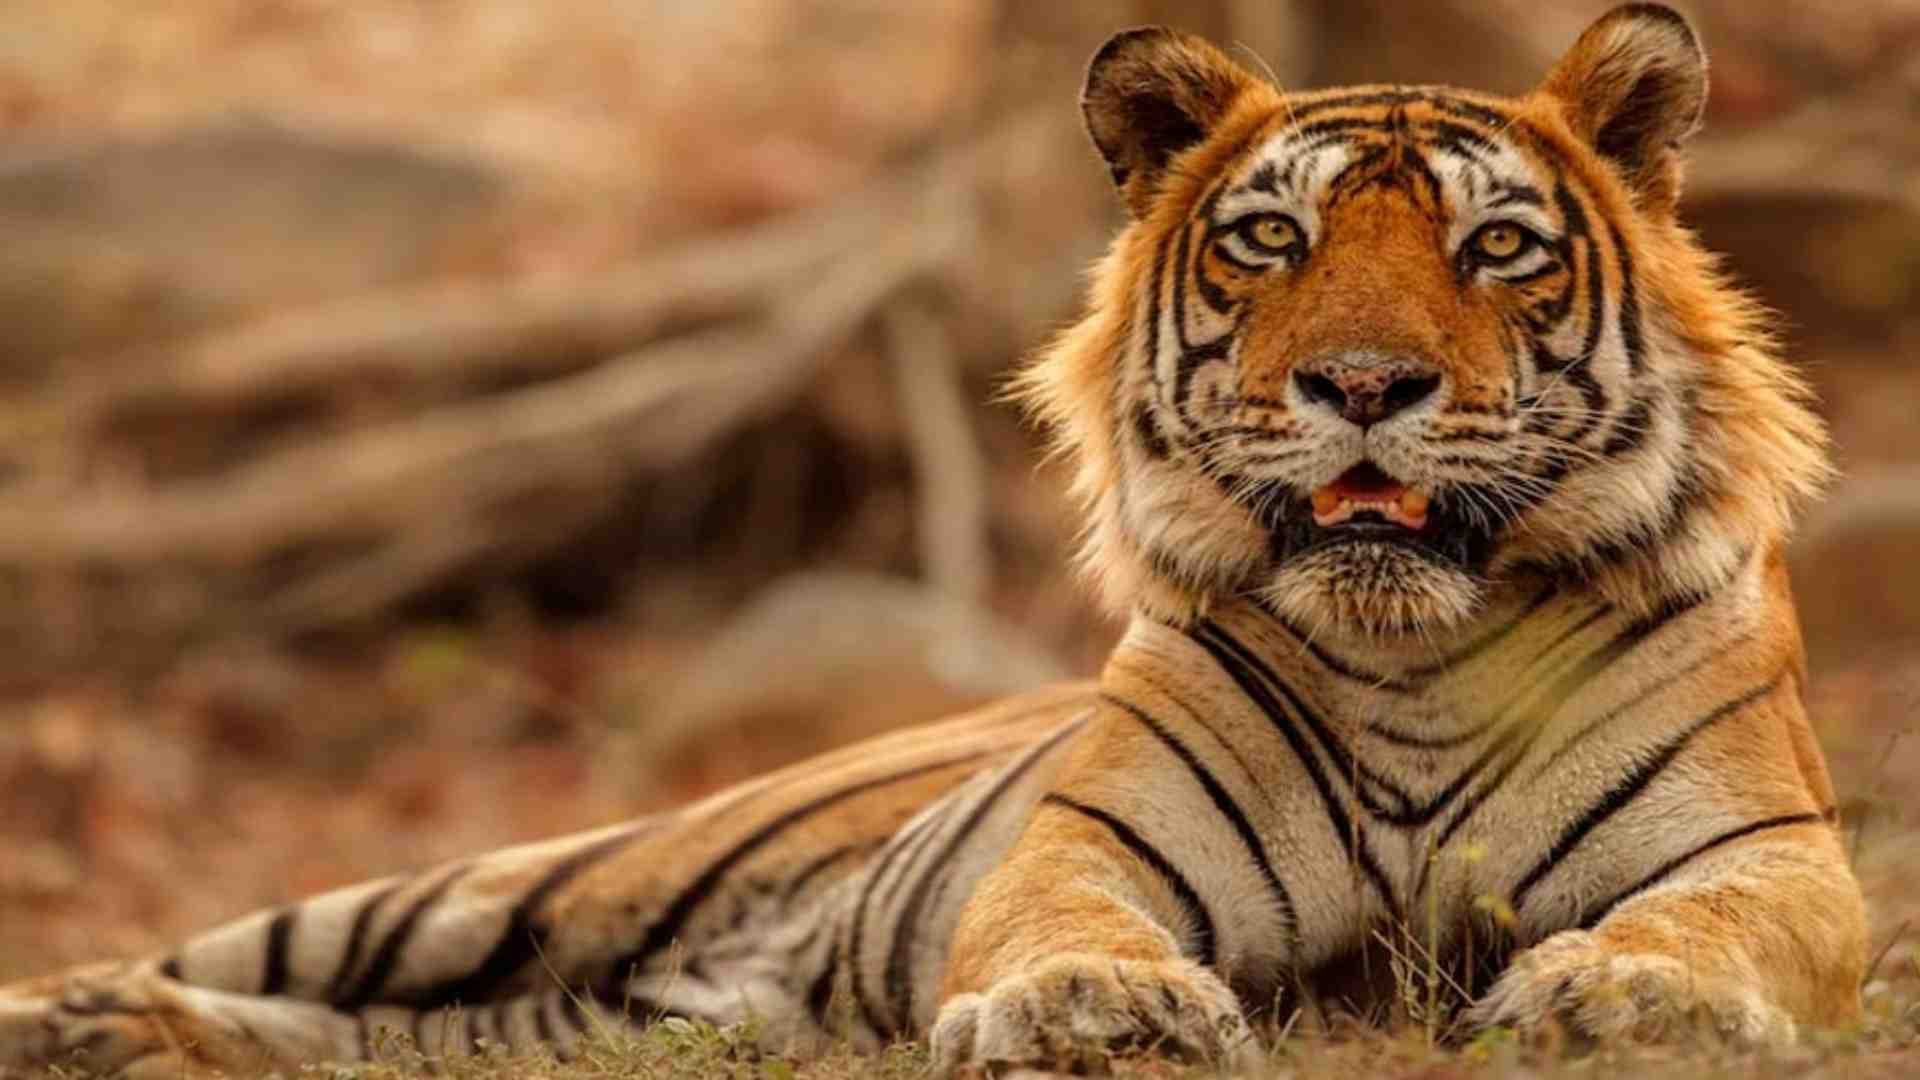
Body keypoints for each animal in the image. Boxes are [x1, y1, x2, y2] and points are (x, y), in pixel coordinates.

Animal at [0, 4, 1868, 1077]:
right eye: (1271, 241)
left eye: (1496, 250)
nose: (1360, 384)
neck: (1412, 647)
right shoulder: (1089, 845)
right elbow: (1065, 925)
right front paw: (1094, 1011)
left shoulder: (1776, 855)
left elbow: (1712, 928)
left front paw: (1630, 1002)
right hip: (515, 883)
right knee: (281, 965)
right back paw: (80, 1017)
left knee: (402, 1043)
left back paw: (137, 1041)